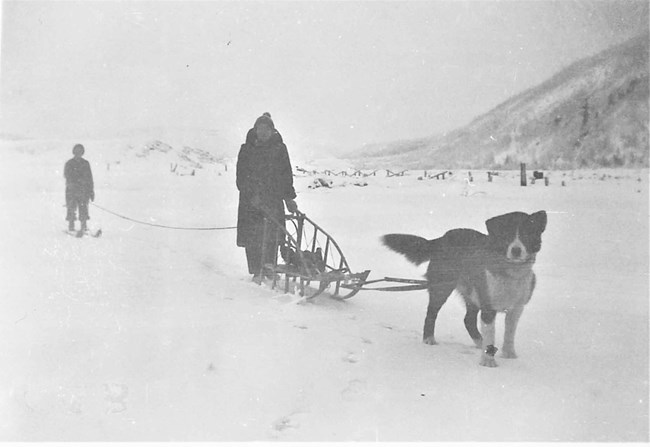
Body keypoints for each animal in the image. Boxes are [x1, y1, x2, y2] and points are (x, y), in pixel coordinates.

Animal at [382, 210, 544, 368]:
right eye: (506, 235)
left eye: (526, 235)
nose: (516, 250)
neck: (509, 272)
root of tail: (443, 237)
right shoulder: (488, 306)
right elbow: (490, 334)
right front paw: (488, 361)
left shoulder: (517, 308)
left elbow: (510, 332)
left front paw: (509, 354)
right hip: (443, 286)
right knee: (431, 314)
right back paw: (429, 339)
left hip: (472, 293)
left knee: (468, 320)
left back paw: (479, 343)